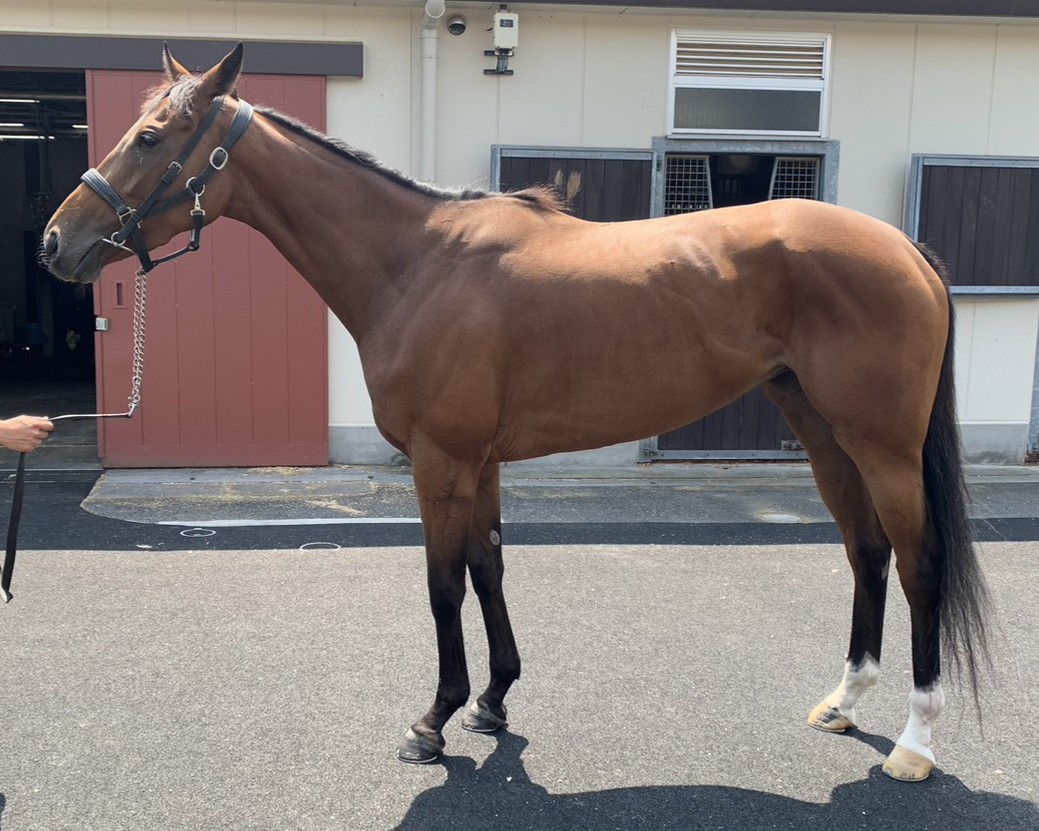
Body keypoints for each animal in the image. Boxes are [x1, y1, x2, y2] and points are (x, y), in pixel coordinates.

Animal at [41, 44, 990, 782]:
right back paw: (843, 700)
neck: (417, 264)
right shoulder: (482, 459)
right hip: (821, 432)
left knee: (916, 563)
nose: (57, 242)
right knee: (865, 551)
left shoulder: (440, 460)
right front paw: (493, 700)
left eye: (150, 137)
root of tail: (904, 247)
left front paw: (433, 719)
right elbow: (489, 566)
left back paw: (913, 742)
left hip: (881, 445)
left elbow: (441, 584)